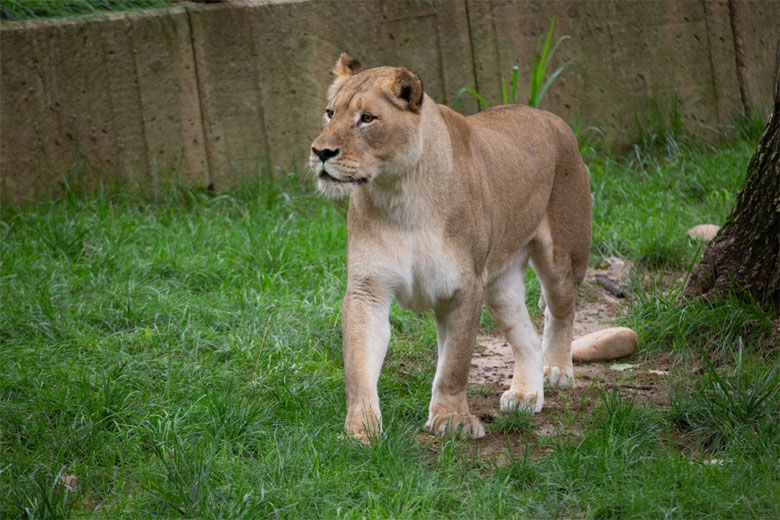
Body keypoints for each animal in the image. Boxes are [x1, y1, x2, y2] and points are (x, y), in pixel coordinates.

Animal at [310, 54, 592, 442]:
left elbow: (454, 366)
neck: (400, 193)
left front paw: (452, 419)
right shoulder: (368, 290)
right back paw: (525, 394)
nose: (320, 152)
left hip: (562, 259)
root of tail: (551, 117)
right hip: (500, 285)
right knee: (527, 336)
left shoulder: (463, 288)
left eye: (367, 118)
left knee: (560, 311)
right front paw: (361, 429)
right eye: (329, 113)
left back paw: (558, 371)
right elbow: (358, 364)